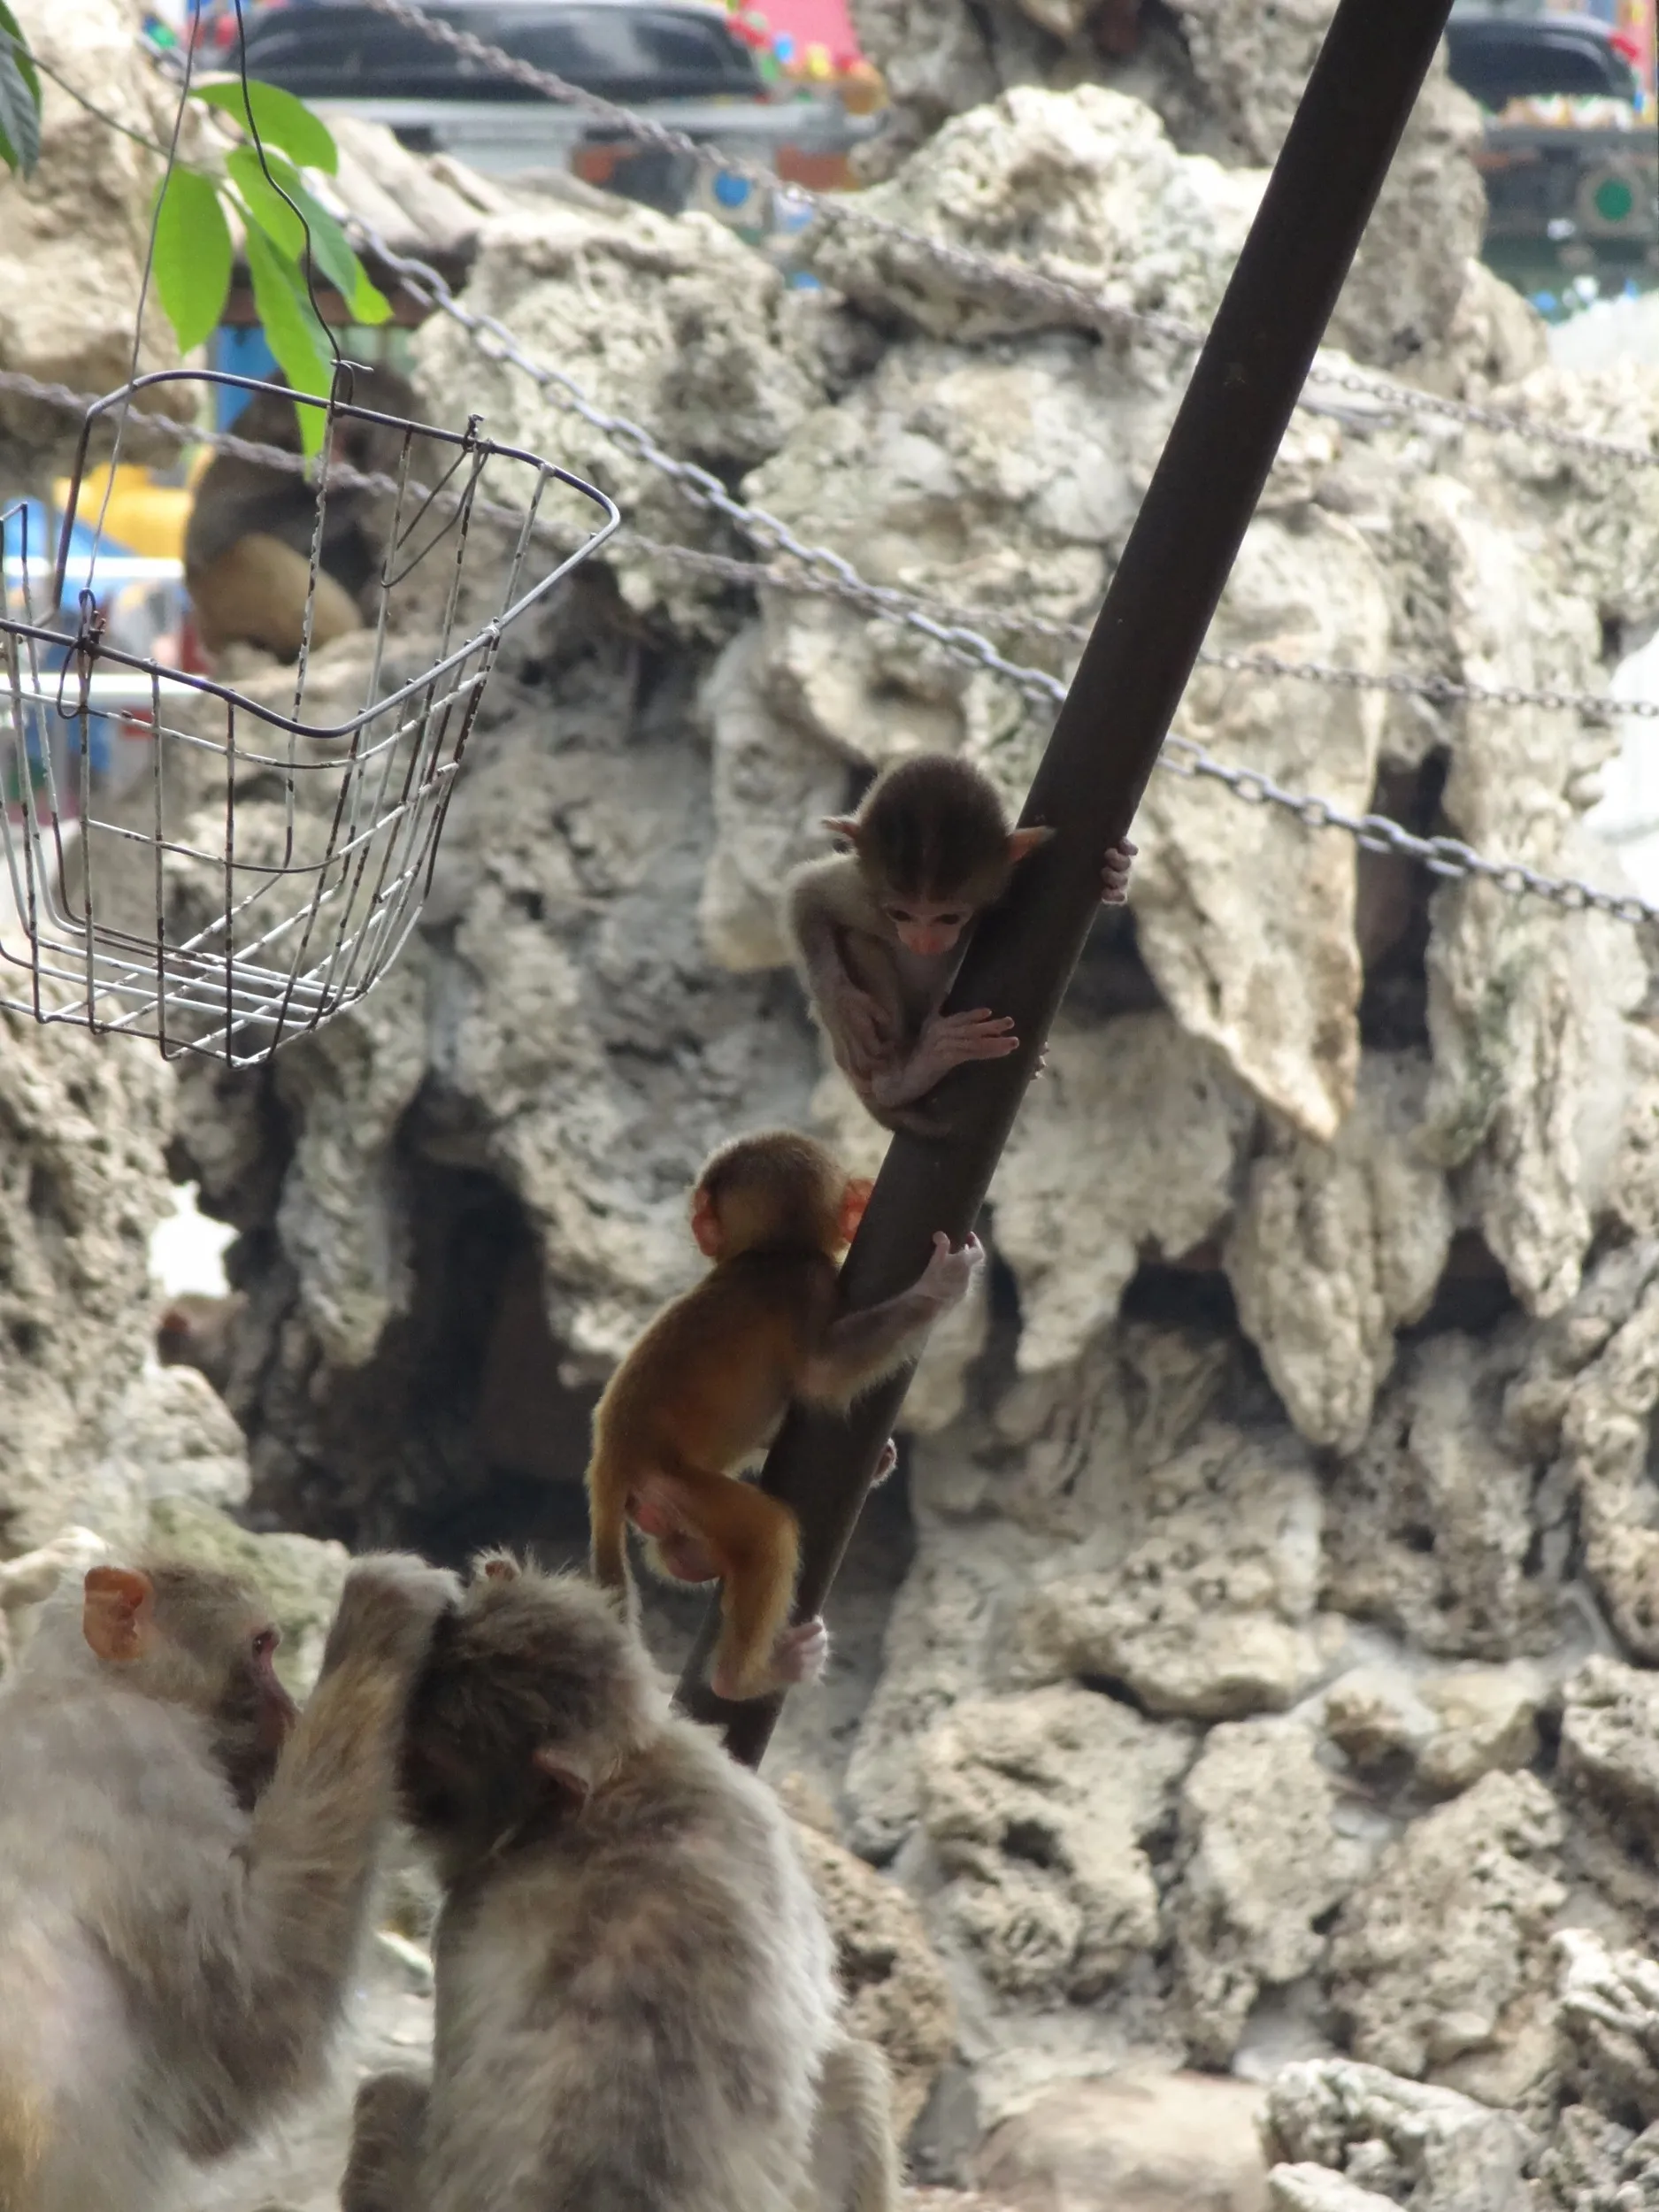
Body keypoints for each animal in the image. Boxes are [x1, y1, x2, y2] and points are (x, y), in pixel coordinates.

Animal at [0, 1547, 457, 2212]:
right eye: (262, 1647)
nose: (294, 1715)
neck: (81, 1685)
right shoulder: (142, 1767)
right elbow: (252, 2013)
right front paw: (382, 1617)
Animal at [184, 366, 420, 662]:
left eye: (346, 436)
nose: (327, 457)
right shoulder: (257, 455)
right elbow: (209, 532)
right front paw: (361, 493)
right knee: (249, 549)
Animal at [584, 1129, 983, 1701]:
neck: (769, 1252)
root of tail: (610, 1457)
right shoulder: (809, 1283)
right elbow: (824, 1375)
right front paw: (939, 1288)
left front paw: (882, 1459)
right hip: (670, 1480)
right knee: (768, 1533)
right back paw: (744, 1677)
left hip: (659, 1500)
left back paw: (693, 1562)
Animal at [782, 753, 1136, 1136]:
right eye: (901, 914)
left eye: (949, 918)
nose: (923, 940)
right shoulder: (866, 898)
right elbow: (807, 894)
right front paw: (841, 1007)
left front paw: (1117, 875)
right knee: (860, 942)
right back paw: (901, 1080)